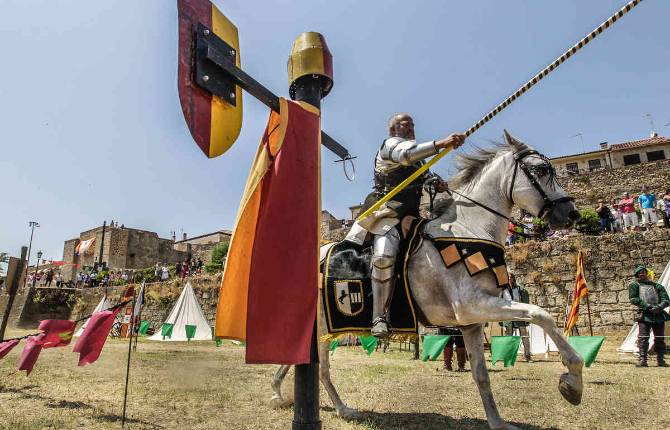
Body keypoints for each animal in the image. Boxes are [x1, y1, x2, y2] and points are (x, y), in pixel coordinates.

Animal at [270, 133, 584, 430]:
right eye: (541, 169)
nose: (571, 214)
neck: (467, 228)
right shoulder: (472, 305)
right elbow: (541, 314)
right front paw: (572, 381)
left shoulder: (471, 322)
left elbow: (481, 375)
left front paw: (497, 422)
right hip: (324, 325)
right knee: (320, 365)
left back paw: (298, 397)